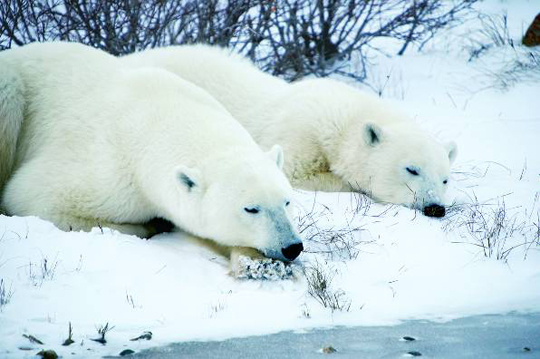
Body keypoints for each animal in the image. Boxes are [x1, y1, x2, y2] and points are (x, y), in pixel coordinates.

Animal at [0, 42, 304, 268]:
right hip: (12, 89)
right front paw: (150, 225)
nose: (292, 246)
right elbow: (31, 196)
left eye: (287, 201)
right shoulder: (106, 168)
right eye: (251, 208)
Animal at [124, 46, 458, 218]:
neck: (340, 117)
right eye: (412, 169)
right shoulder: (299, 133)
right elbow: (300, 173)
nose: (435, 207)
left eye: (445, 178)